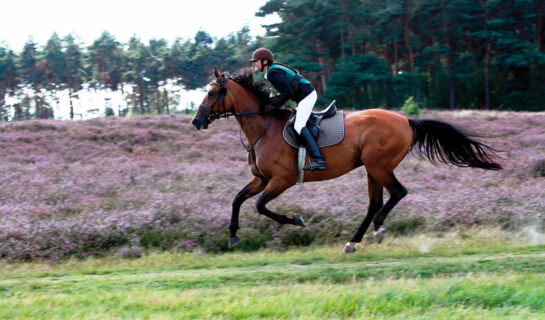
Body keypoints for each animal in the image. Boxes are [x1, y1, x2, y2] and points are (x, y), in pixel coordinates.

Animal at [191, 69, 502, 254]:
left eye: (212, 92)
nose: (196, 121)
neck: (263, 127)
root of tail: (406, 120)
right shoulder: (261, 179)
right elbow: (237, 199)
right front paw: (233, 236)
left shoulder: (282, 179)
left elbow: (260, 206)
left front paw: (296, 220)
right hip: (372, 169)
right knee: (376, 202)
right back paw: (355, 240)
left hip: (379, 166)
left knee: (397, 193)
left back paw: (376, 228)